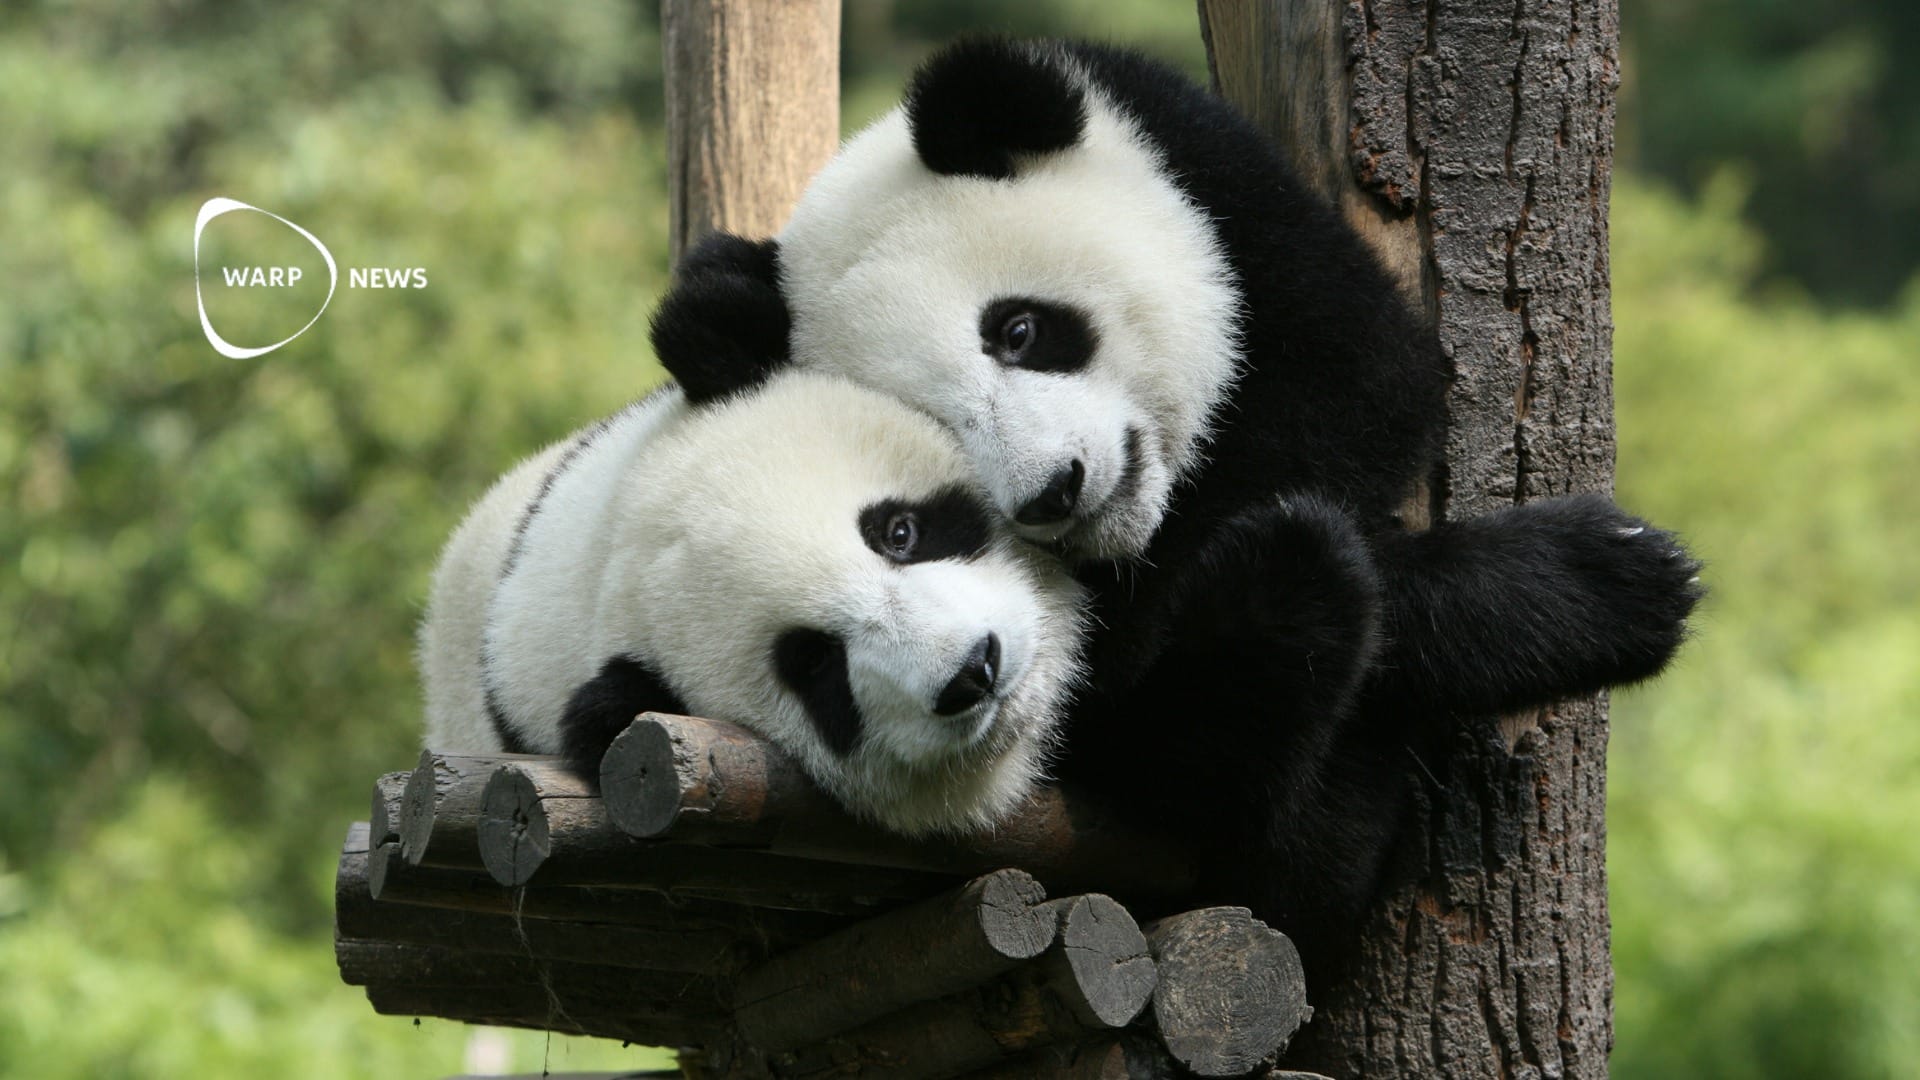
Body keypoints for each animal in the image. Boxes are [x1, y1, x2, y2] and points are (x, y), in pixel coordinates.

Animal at [649, 38, 1702, 970]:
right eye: (936, 425)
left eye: (1019, 330)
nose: (1055, 491)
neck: (1148, 526)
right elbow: (1135, 692)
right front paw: (1602, 583)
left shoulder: (1219, 189)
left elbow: (1363, 386)